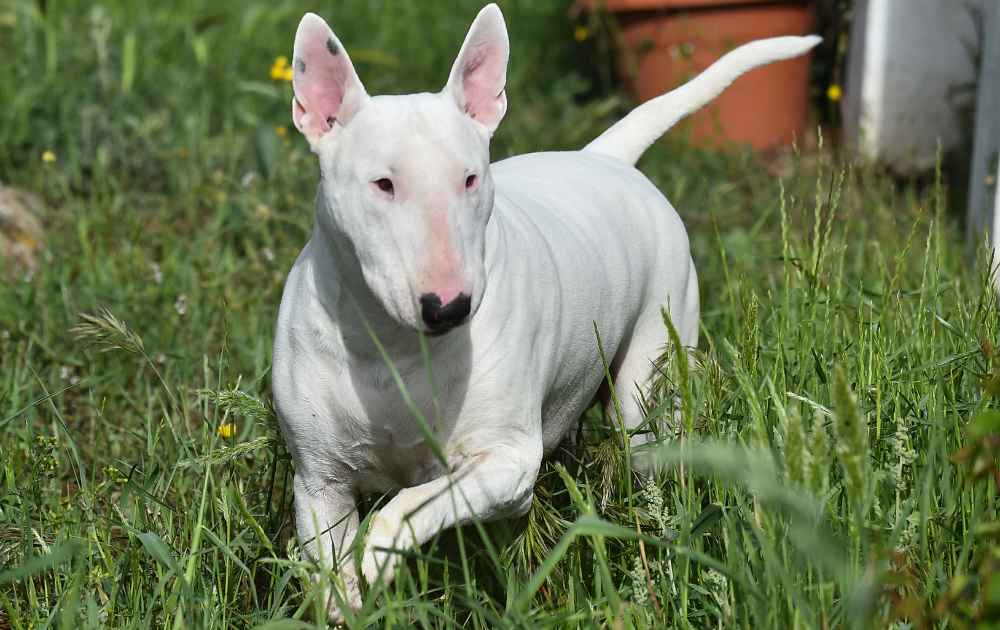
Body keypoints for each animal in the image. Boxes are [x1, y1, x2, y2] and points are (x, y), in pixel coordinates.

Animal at [274, 3, 820, 624]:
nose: (450, 307)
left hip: (649, 384)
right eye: (383, 184)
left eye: (470, 178)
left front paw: (381, 550)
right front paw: (353, 593)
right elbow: (333, 571)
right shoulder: (319, 484)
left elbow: (412, 506)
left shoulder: (507, 463)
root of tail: (603, 158)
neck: (394, 345)